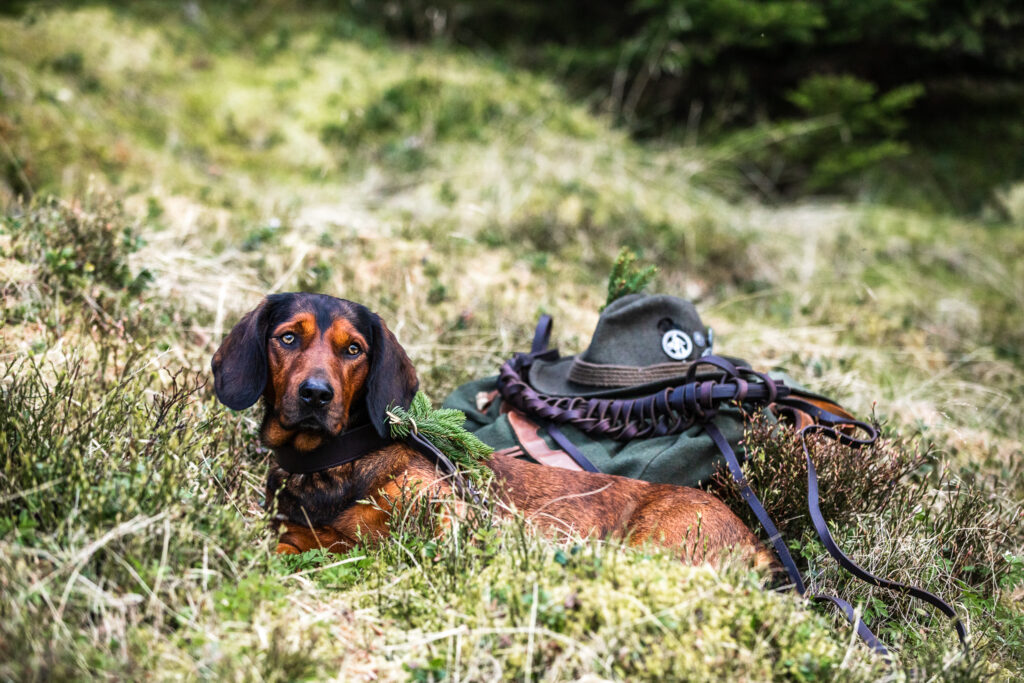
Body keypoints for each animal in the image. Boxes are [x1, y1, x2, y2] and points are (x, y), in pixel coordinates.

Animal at [211, 294, 770, 565]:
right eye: (288, 338)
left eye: (354, 349)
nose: (316, 395)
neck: (332, 461)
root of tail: (757, 544)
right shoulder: (299, 535)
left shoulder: (452, 513)